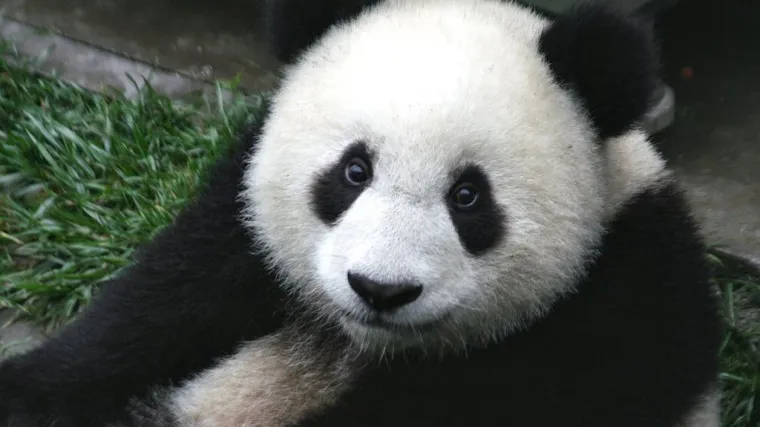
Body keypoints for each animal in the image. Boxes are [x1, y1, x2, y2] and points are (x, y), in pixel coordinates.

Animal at [0, 0, 721, 426]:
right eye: (354, 172)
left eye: (468, 197)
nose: (381, 289)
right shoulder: (241, 225)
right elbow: (157, 304)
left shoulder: (616, 315)